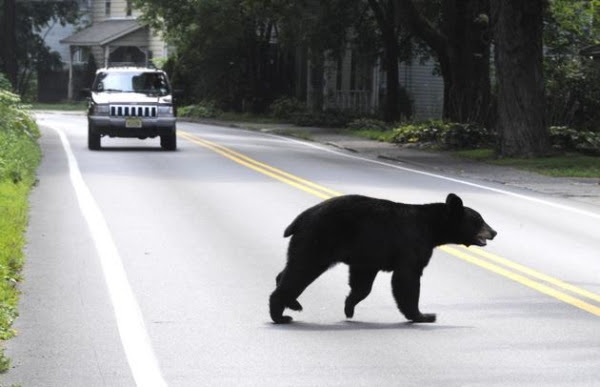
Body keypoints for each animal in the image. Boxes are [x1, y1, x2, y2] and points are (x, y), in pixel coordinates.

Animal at [272, 193, 496, 324]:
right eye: (479, 220)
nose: (494, 232)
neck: (431, 227)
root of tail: (299, 219)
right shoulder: (412, 245)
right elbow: (407, 278)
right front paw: (422, 315)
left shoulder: (368, 255)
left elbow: (362, 283)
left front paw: (349, 307)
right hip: (318, 241)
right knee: (301, 270)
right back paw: (280, 313)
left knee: (290, 268)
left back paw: (291, 303)